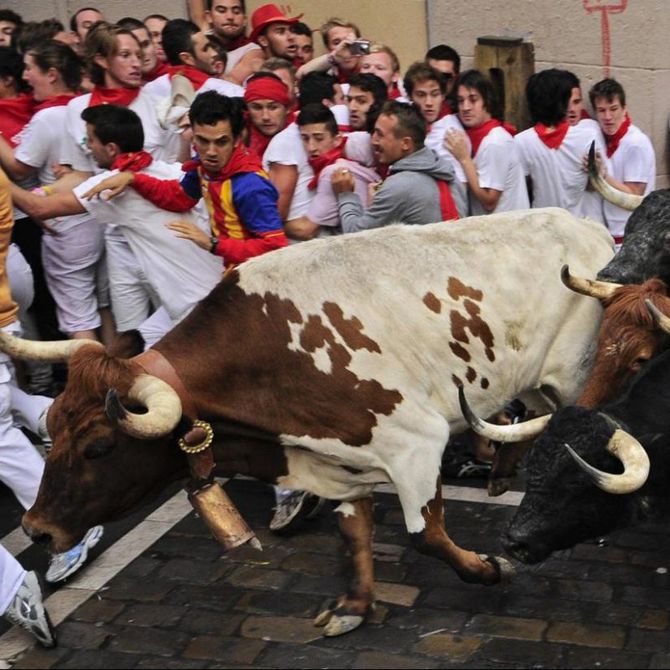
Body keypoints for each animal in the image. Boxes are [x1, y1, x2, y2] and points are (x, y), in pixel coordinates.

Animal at [2, 209, 616, 636]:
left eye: (99, 448)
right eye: (53, 425)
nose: (36, 530)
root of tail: (584, 223)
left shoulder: (415, 444)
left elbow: (426, 536)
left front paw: (489, 569)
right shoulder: (341, 460)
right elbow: (354, 533)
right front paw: (355, 606)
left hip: (574, 375)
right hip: (533, 380)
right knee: (530, 413)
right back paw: (502, 469)